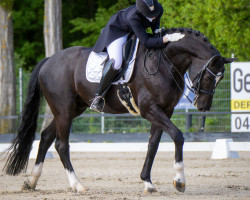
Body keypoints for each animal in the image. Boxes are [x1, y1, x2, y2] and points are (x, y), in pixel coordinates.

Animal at [3, 27, 236, 193]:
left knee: (45, 137)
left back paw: (32, 182)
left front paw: (148, 182)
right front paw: (179, 180)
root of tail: (49, 60)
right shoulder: (150, 109)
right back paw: (77, 185)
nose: (203, 107)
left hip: (71, 110)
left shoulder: (165, 111)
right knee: (61, 145)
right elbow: (178, 136)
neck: (165, 63)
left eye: (221, 79)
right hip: (64, 110)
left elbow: (153, 144)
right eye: (210, 76)